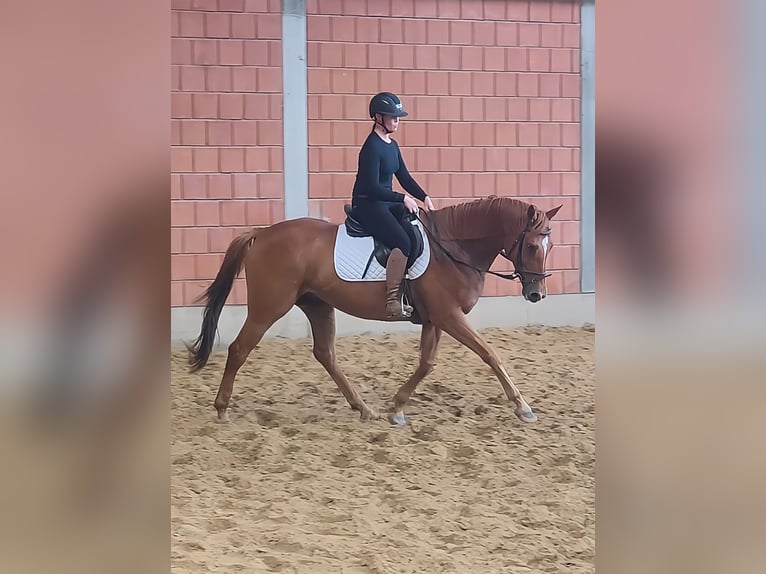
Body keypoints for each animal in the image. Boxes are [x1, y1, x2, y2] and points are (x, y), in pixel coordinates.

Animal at [186, 196, 562, 426]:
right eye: (532, 245)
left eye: (550, 246)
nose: (536, 294)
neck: (453, 248)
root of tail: (261, 234)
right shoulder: (450, 316)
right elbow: (490, 354)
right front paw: (523, 406)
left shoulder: (436, 318)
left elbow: (427, 363)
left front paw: (396, 408)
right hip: (269, 307)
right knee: (239, 349)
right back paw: (222, 409)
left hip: (317, 305)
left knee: (325, 354)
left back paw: (363, 408)